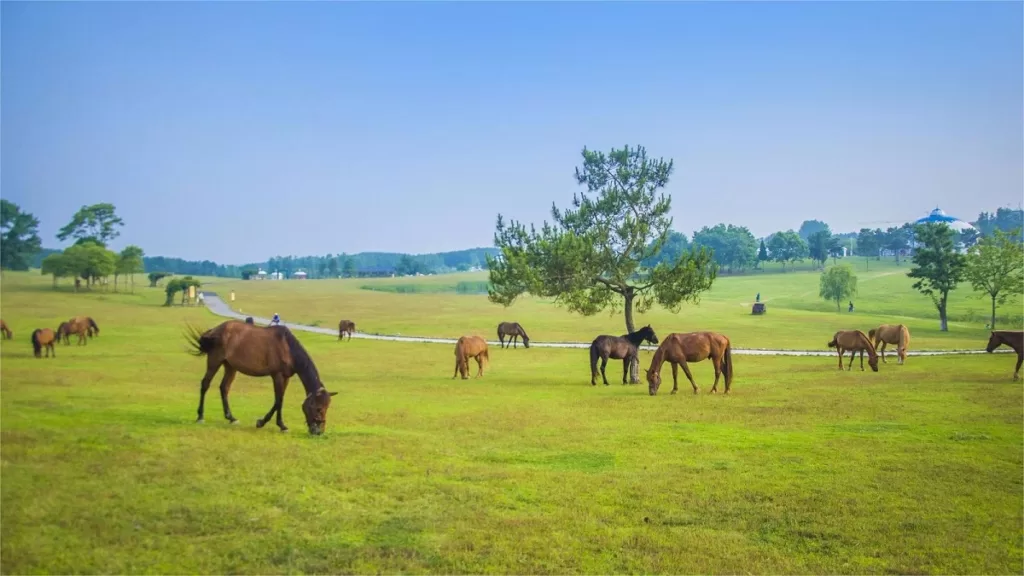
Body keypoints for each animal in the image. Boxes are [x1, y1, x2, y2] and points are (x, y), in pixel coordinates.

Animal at [186, 317, 337, 434]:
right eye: (318, 408)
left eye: (326, 407)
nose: (318, 432)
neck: (287, 348)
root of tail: (214, 330)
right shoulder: (277, 375)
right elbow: (278, 400)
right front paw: (277, 425)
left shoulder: (286, 377)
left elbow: (279, 400)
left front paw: (267, 423)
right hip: (214, 360)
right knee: (205, 384)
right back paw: (200, 416)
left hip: (230, 366)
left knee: (224, 388)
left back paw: (231, 418)